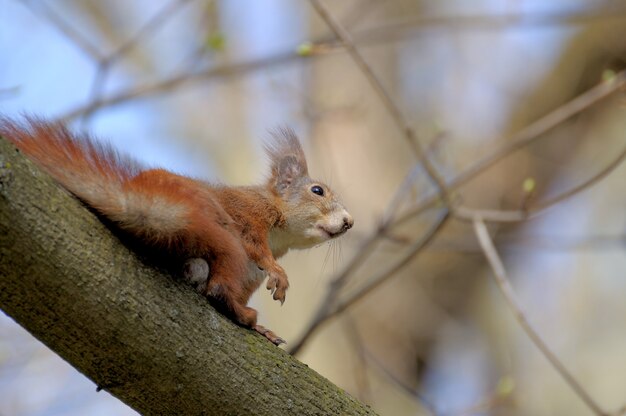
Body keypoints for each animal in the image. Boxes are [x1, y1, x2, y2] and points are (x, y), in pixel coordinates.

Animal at [0, 116, 352, 344]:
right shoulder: (248, 214)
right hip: (221, 233)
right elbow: (255, 245)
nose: (349, 222)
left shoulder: (250, 277)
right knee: (219, 288)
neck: (280, 233)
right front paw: (277, 272)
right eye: (318, 191)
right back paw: (246, 315)